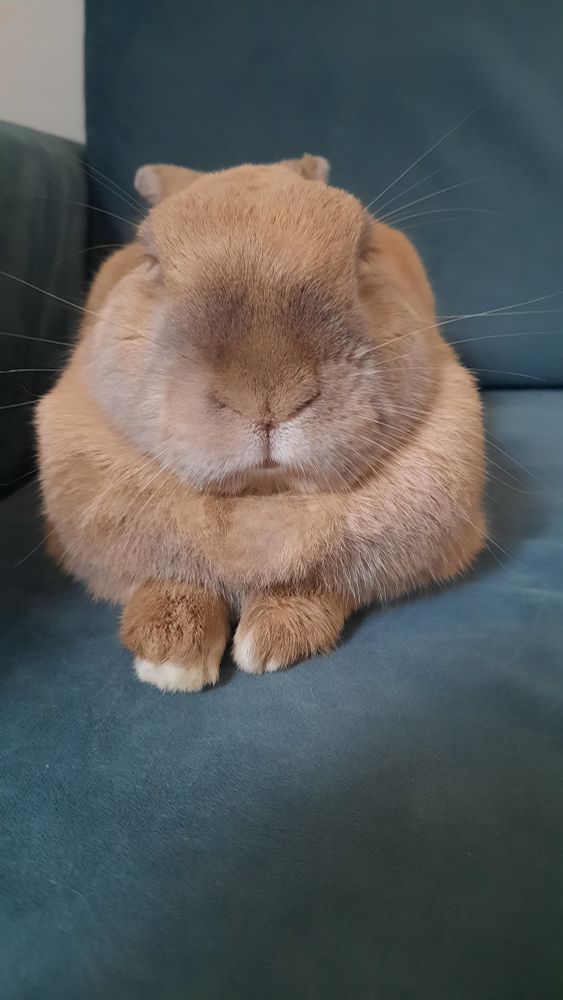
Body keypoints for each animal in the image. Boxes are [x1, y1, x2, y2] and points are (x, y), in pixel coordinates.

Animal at [36, 154, 485, 692]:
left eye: (363, 253)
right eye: (151, 262)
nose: (268, 398)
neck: (261, 499)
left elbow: (320, 582)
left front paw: (270, 640)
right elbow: (167, 577)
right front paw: (171, 659)